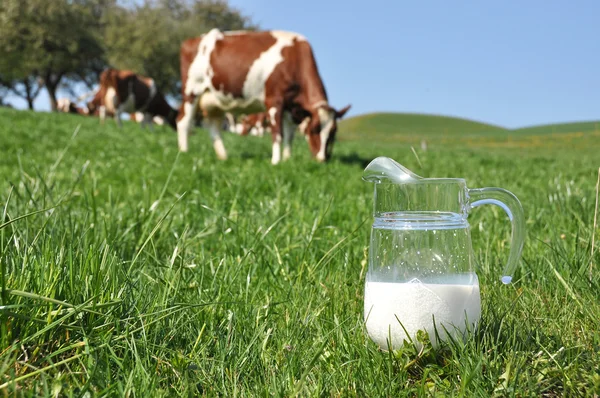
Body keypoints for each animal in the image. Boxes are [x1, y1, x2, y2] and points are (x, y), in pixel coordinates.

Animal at [176, 28, 350, 163]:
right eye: (314, 129)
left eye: (333, 132)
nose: (322, 159)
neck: (294, 58)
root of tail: (191, 40)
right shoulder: (274, 100)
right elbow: (277, 133)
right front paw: (276, 161)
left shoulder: (290, 106)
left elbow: (289, 134)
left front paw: (287, 159)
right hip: (192, 90)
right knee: (183, 120)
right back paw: (184, 152)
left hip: (214, 100)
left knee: (213, 126)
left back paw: (223, 156)